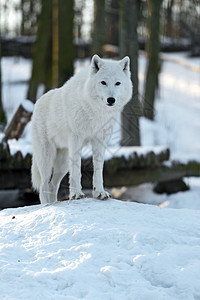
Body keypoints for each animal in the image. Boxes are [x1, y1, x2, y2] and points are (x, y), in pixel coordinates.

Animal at [30, 54, 132, 204]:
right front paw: (76, 194)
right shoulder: (76, 139)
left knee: (53, 185)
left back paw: (54, 203)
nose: (111, 99)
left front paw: (99, 193)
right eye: (103, 82)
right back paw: (47, 206)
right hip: (46, 159)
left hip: (63, 164)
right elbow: (77, 169)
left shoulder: (100, 140)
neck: (96, 112)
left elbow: (98, 169)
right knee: (43, 186)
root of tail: (36, 103)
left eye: (117, 83)